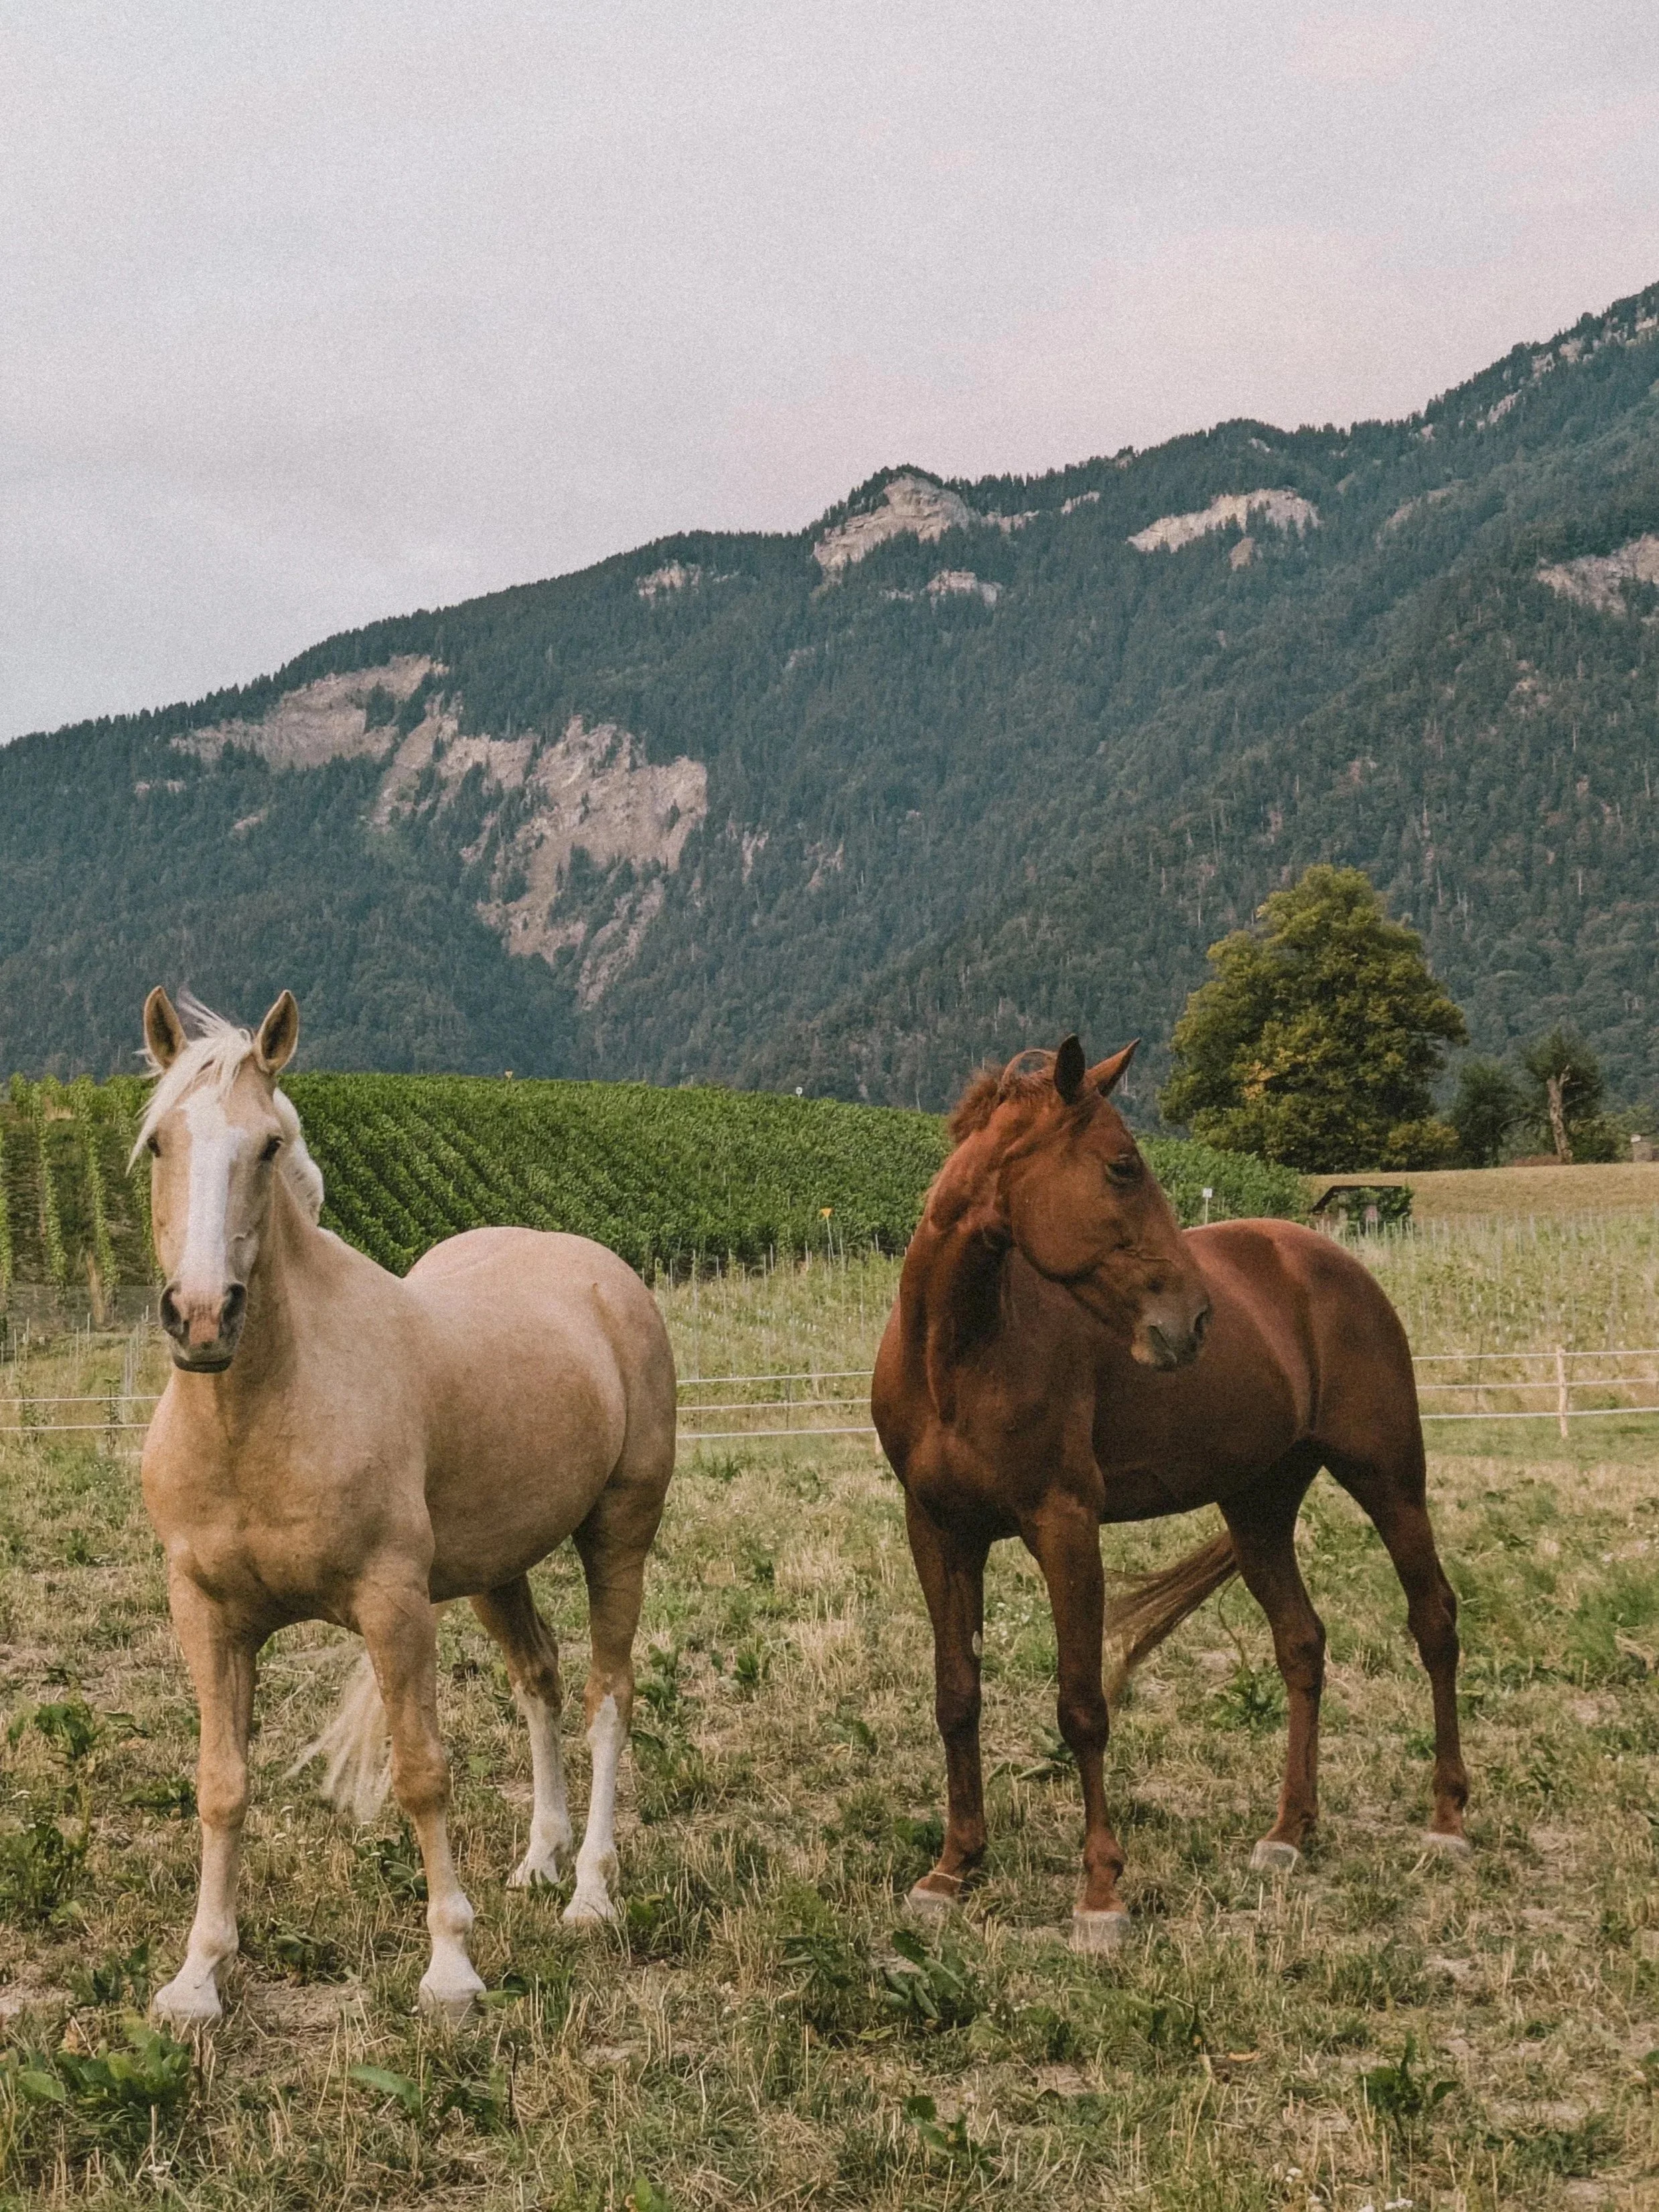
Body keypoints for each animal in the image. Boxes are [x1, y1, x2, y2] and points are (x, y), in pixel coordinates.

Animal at [133, 989, 677, 2025]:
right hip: (497, 1568)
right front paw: (196, 1976)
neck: (267, 1411)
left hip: (618, 1533)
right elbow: (221, 1784)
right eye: (156, 1144)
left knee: (606, 1694)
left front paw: (451, 1969)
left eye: (267, 1145)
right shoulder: (206, 1612)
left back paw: (590, 1890)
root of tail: (601, 1274)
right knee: (540, 1681)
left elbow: (423, 1773)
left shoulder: (393, 1607)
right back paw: (540, 1860)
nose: (203, 1316)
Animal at [871, 1036, 1468, 1954]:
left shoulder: (1064, 1524)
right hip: (1258, 1506)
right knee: (1300, 1642)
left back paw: (1444, 1821)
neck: (958, 1352)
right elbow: (955, 1695)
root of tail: (1328, 1259)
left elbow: (1081, 1704)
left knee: (1432, 1620)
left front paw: (1099, 1895)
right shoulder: (938, 1531)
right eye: (1121, 1165)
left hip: (1389, 1480)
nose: (1192, 1322)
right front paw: (952, 1869)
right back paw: (1288, 1831)